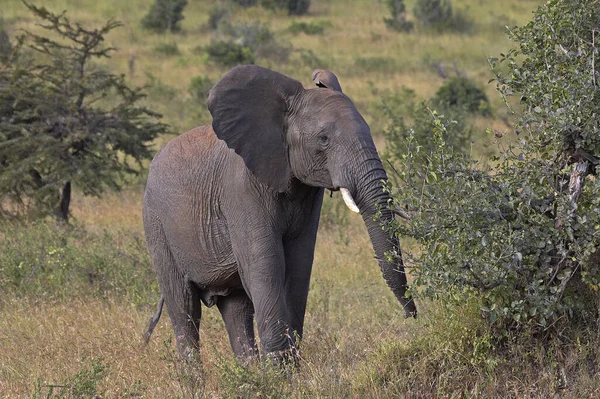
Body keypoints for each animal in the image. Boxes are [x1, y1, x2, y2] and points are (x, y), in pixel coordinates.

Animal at [143, 64, 418, 364]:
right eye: (323, 139)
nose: (412, 316)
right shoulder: (241, 189)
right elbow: (266, 266)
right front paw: (281, 370)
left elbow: (298, 266)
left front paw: (289, 368)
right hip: (156, 225)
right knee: (184, 307)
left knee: (236, 309)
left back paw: (248, 374)